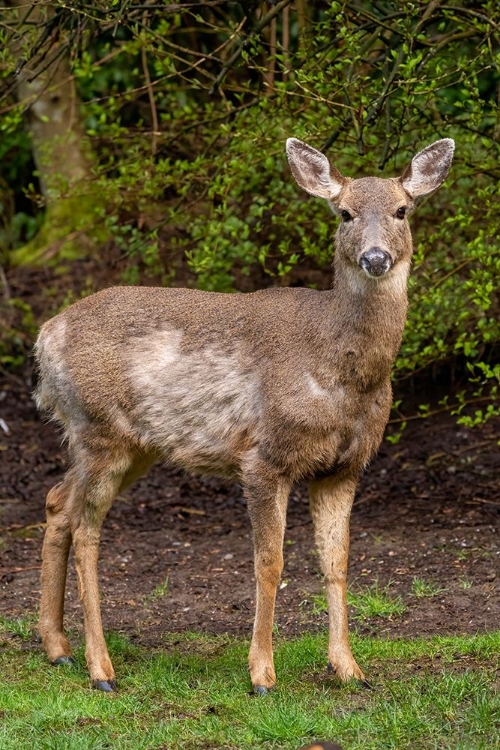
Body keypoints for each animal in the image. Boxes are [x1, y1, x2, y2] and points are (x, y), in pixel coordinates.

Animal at [34, 135, 454, 692]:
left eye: (402, 210)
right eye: (343, 212)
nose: (375, 257)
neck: (341, 373)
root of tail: (44, 338)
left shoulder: (344, 466)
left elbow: (338, 561)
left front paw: (348, 668)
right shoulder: (263, 457)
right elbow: (269, 562)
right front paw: (262, 674)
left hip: (131, 444)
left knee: (58, 501)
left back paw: (57, 647)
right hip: (98, 429)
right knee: (86, 527)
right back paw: (100, 668)